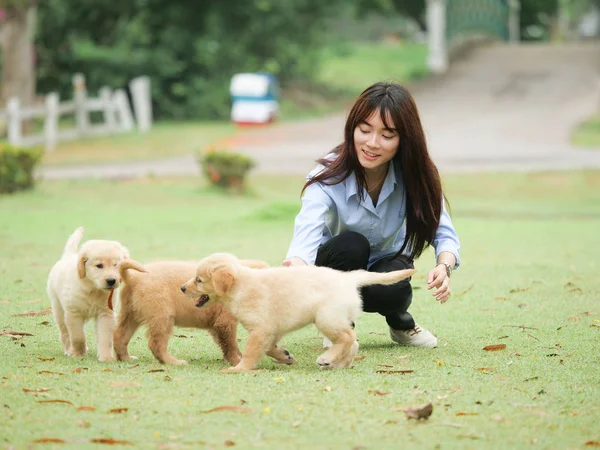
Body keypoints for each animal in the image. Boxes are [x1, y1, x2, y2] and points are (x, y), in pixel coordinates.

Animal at [47, 227, 130, 360]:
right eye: (99, 265)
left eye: (116, 265)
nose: (111, 281)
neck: (93, 288)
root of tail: (68, 256)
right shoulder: (74, 313)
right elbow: (78, 337)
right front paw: (78, 354)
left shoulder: (105, 314)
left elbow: (105, 338)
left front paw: (106, 357)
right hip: (59, 309)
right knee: (65, 333)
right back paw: (69, 350)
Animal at [115, 256, 270, 366]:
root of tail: (134, 278)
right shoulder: (225, 322)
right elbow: (230, 344)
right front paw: (236, 361)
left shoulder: (216, 325)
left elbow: (228, 344)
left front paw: (238, 356)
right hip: (162, 316)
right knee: (156, 343)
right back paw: (173, 362)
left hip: (130, 315)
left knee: (120, 336)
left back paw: (126, 358)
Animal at [182, 253, 418, 372]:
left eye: (199, 280)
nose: (182, 288)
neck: (241, 286)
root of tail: (348, 278)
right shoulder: (271, 330)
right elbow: (270, 348)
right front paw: (284, 356)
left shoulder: (260, 329)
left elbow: (250, 352)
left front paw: (239, 368)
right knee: (353, 343)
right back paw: (338, 364)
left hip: (326, 318)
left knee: (347, 337)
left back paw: (327, 358)